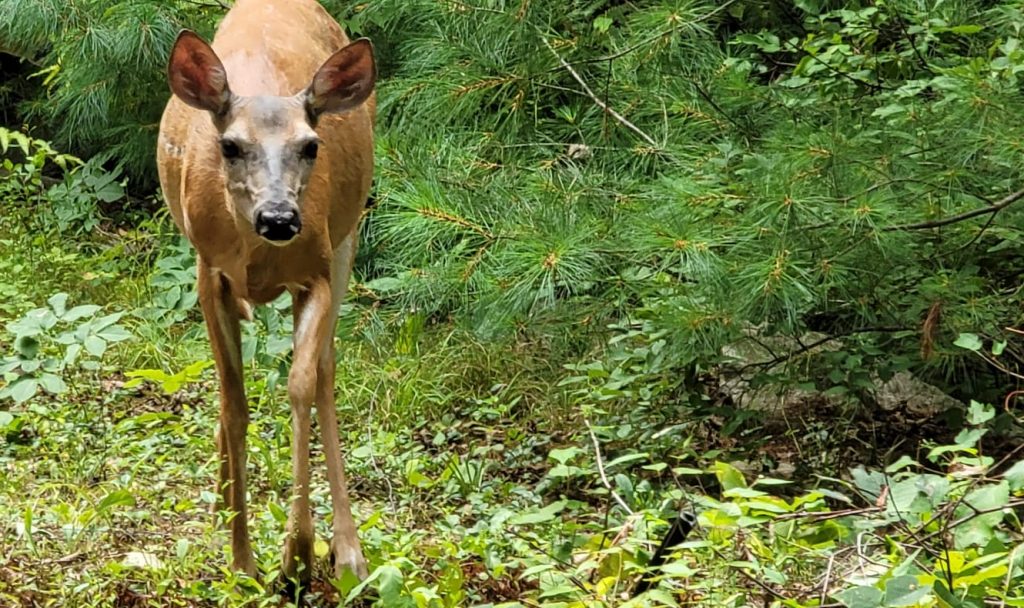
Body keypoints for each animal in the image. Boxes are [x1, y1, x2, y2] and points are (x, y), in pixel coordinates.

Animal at [151, 0, 376, 581]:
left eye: (310, 145)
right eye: (230, 146)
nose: (278, 218)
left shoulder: (317, 270)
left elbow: (302, 384)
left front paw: (297, 552)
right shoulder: (209, 273)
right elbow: (234, 403)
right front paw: (242, 559)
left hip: (347, 235)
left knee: (326, 370)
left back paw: (348, 549)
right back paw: (220, 495)